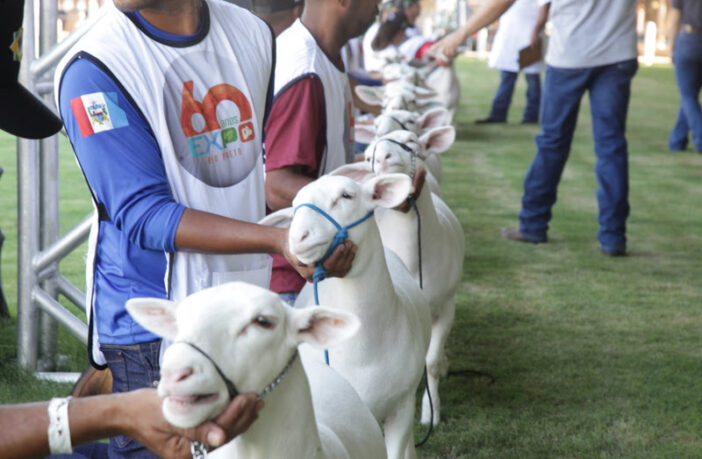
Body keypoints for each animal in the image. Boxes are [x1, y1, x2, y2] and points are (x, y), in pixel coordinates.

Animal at [336, 126, 468, 428]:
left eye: (411, 141)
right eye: (368, 156)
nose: (382, 158)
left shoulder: (446, 306)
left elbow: (431, 362)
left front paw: (431, 412)